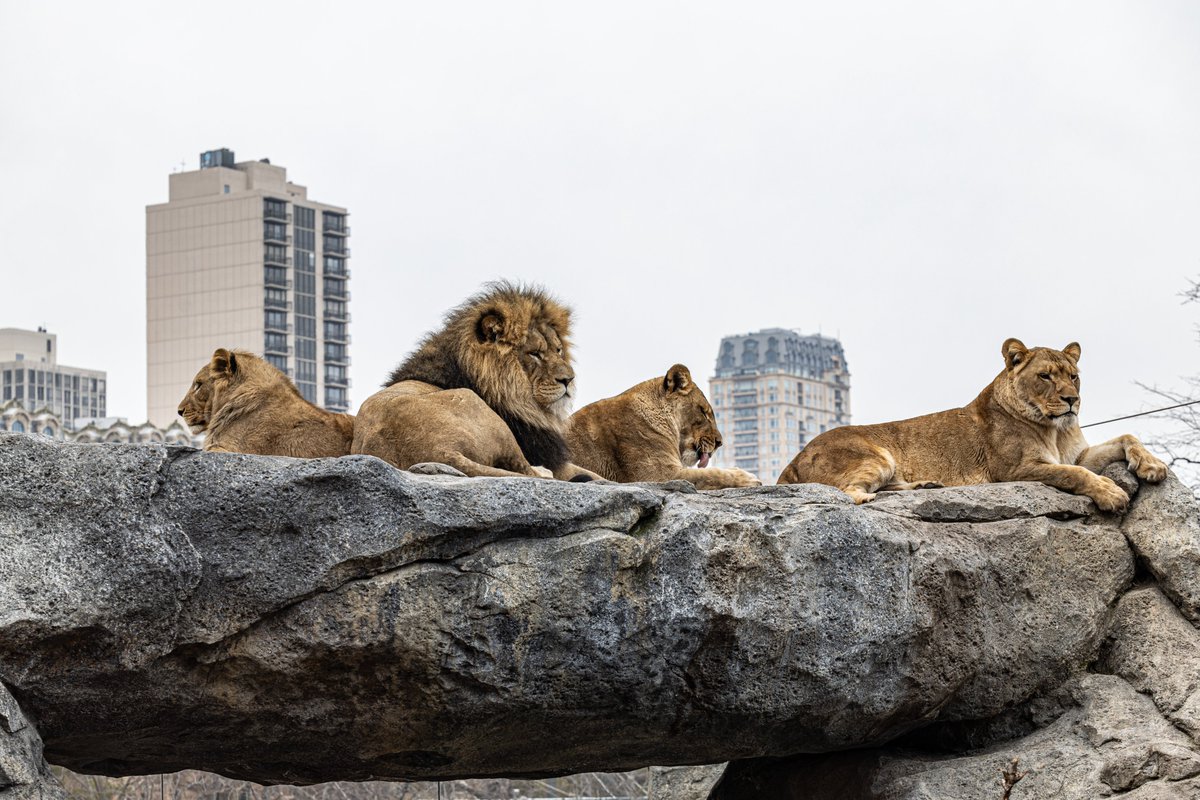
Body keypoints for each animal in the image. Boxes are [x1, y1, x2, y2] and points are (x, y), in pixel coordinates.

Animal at [352, 283, 600, 482]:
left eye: (558, 350)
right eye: (534, 353)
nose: (568, 379)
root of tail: (441, 451)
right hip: (487, 415)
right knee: (526, 469)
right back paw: (543, 472)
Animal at [777, 338, 1161, 513]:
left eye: (1074, 376)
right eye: (1045, 376)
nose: (1072, 400)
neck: (1056, 429)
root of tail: (793, 460)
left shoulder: (1077, 454)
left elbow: (1126, 435)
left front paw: (1153, 466)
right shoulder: (1015, 469)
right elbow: (1074, 474)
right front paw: (1112, 492)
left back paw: (926, 486)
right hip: (877, 456)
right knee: (847, 491)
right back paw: (871, 497)